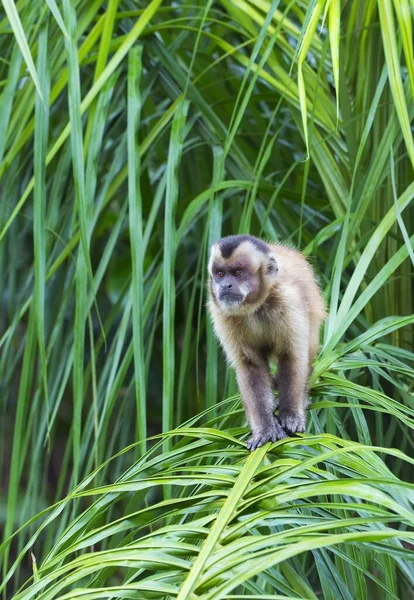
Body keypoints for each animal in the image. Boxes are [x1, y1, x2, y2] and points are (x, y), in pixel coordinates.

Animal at [207, 234, 326, 450]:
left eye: (237, 273)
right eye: (220, 274)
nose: (225, 285)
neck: (255, 307)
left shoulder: (288, 301)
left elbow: (292, 356)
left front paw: (290, 416)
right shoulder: (222, 314)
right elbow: (250, 365)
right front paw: (265, 429)